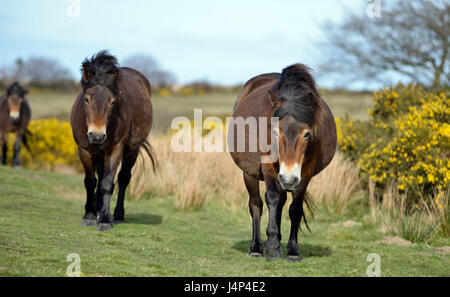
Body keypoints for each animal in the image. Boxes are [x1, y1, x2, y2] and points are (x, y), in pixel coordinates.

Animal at [69, 51, 156, 231]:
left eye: (112, 102)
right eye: (86, 99)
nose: (97, 135)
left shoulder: (116, 149)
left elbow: (108, 183)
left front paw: (104, 220)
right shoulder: (84, 150)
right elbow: (90, 182)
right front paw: (89, 215)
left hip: (132, 151)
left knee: (123, 179)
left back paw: (117, 215)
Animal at [230, 63, 336, 260]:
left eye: (307, 134)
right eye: (275, 131)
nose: (288, 179)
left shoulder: (305, 173)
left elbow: (295, 208)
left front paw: (292, 250)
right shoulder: (268, 166)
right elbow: (271, 198)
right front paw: (271, 245)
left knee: (281, 201)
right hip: (249, 174)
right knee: (256, 205)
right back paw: (257, 247)